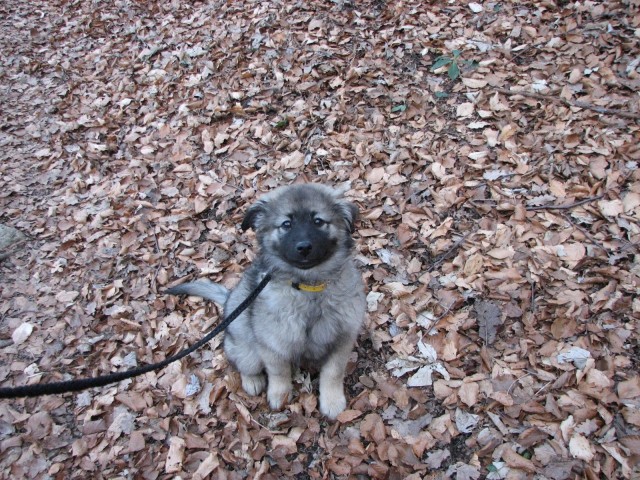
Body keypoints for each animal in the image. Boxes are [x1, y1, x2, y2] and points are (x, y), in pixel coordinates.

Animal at [169, 186, 364, 418]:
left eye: (318, 221)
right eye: (286, 224)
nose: (304, 247)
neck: (308, 287)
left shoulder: (342, 339)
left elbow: (333, 372)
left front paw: (332, 401)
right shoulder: (273, 345)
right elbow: (278, 372)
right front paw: (280, 395)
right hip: (246, 349)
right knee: (244, 365)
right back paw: (252, 381)